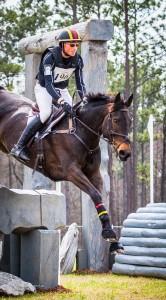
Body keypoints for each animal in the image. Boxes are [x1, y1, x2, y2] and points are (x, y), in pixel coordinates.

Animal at [0, 86, 133, 253]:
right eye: (115, 120)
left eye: (130, 121)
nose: (125, 153)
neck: (81, 131)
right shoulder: (71, 172)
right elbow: (96, 195)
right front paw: (109, 233)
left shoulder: (94, 174)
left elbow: (101, 199)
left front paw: (113, 241)